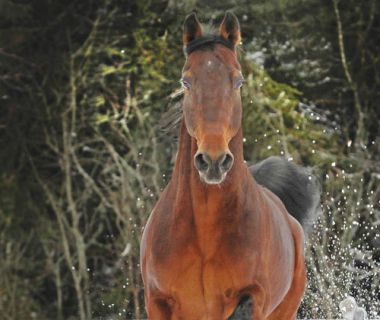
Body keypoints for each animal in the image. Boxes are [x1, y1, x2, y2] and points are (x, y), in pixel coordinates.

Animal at [140, 12, 320, 320]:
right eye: (186, 82)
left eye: (238, 81)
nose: (213, 160)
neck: (204, 233)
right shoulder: (158, 301)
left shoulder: (252, 297)